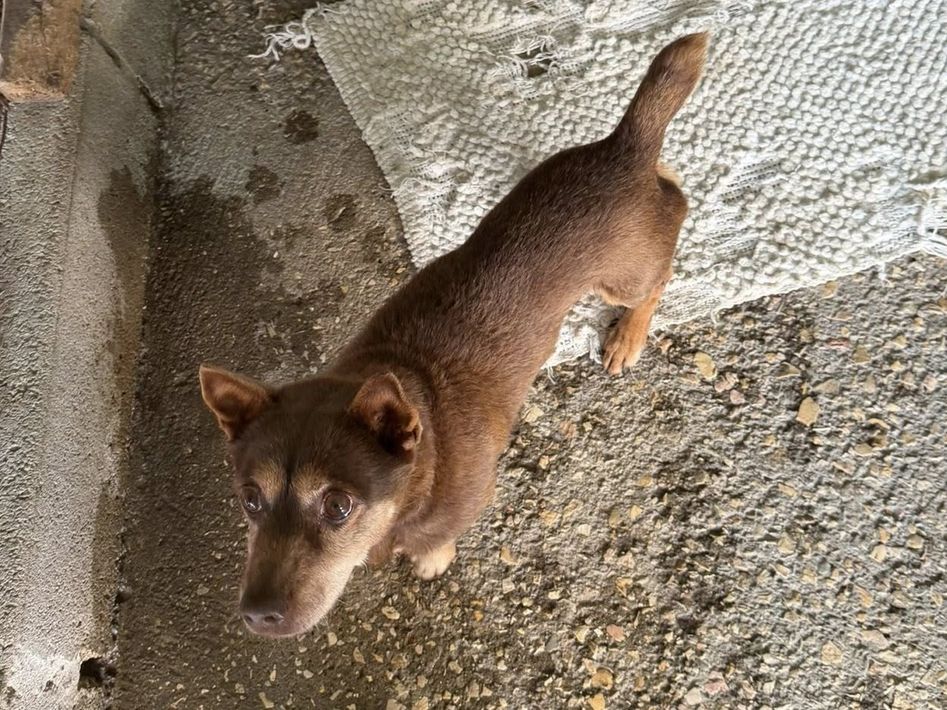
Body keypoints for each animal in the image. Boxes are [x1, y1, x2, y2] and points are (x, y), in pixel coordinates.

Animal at [200, 33, 708, 637]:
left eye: (338, 506)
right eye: (250, 499)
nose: (257, 616)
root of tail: (625, 147)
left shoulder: (472, 498)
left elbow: (437, 538)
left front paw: (432, 558)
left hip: (623, 278)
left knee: (664, 261)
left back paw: (629, 335)